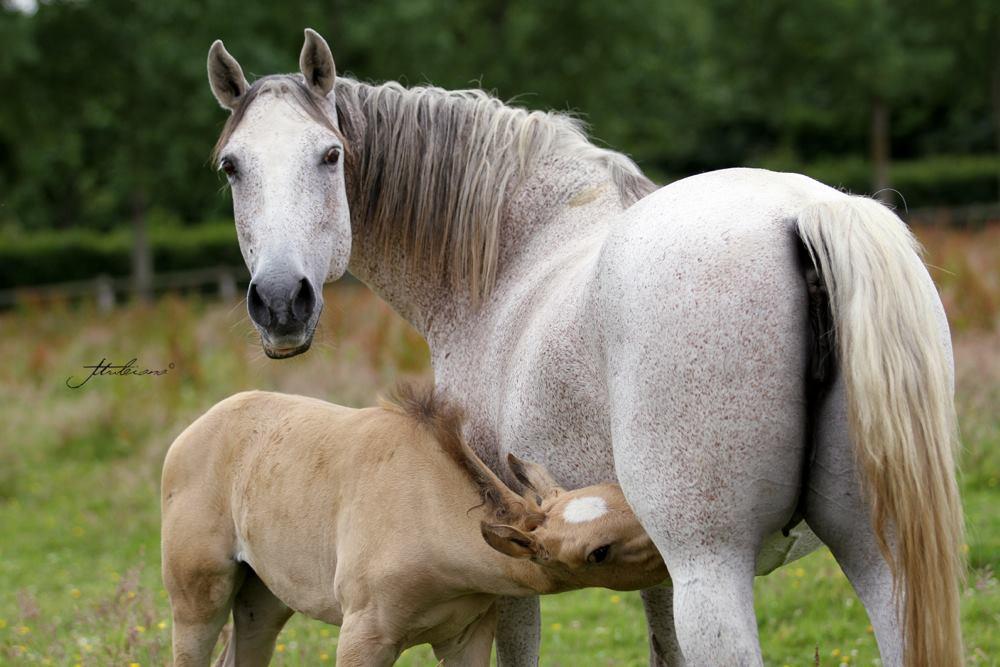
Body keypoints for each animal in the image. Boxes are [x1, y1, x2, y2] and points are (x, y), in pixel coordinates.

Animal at [162, 386, 664, 667]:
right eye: (598, 553)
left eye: (621, 494)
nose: (668, 550)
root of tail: (193, 429)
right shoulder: (362, 640)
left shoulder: (467, 638)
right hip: (197, 600)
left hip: (264, 600)